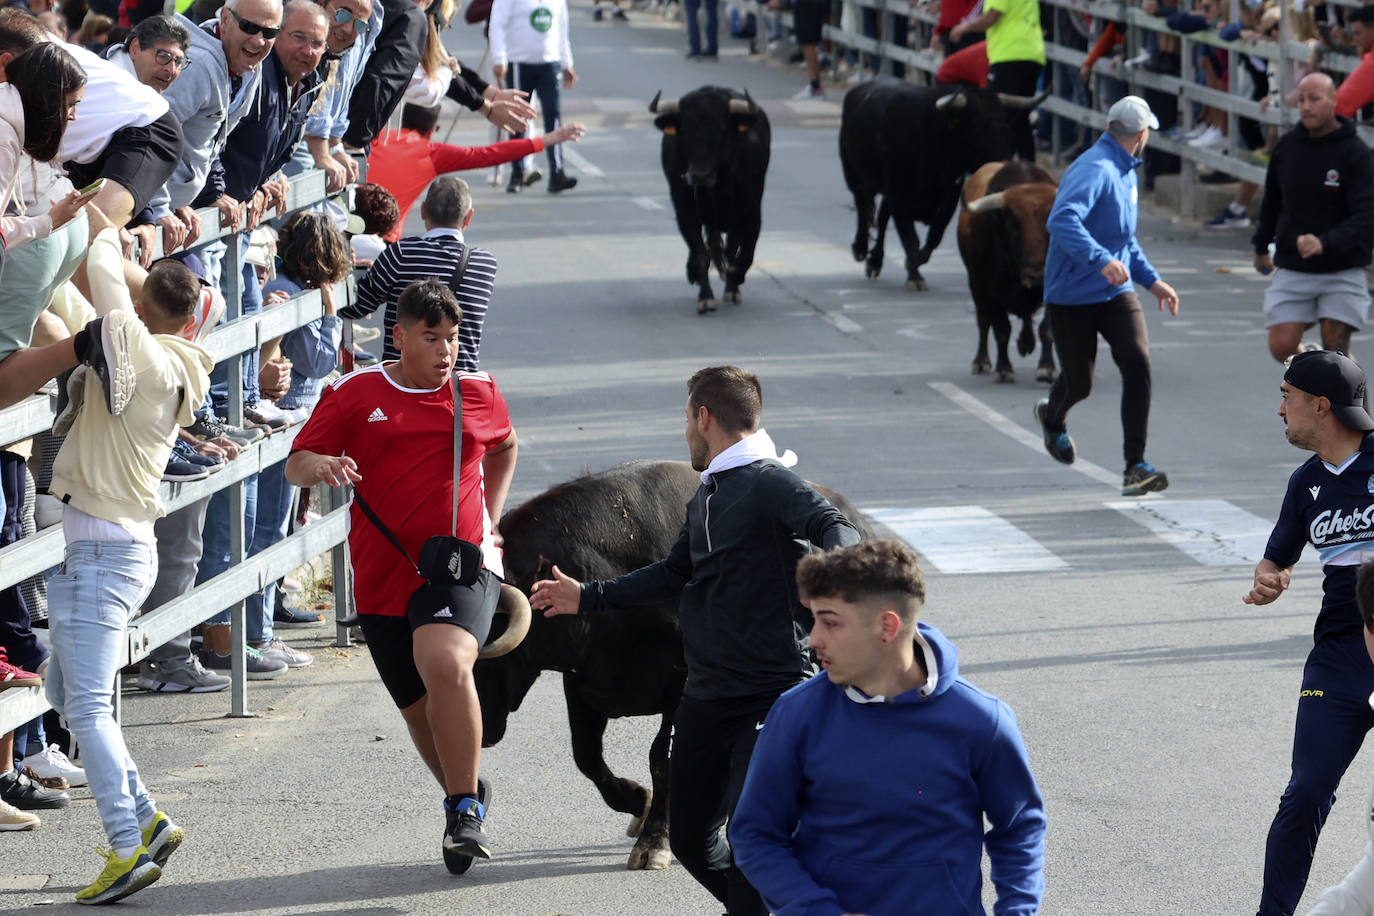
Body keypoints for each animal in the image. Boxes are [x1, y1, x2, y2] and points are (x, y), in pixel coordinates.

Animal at [648, 87, 769, 315]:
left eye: (721, 130)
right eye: (685, 131)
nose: (700, 176)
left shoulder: (750, 208)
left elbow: (745, 253)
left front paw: (735, 279)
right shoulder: (685, 210)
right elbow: (700, 253)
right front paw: (705, 298)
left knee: (731, 249)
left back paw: (731, 286)